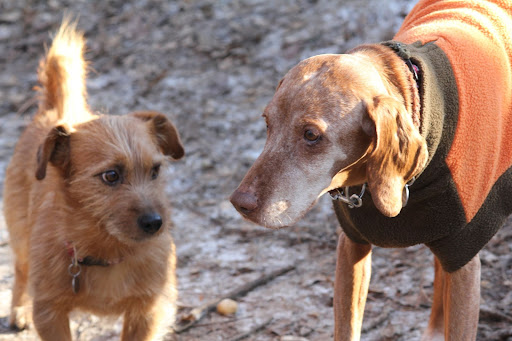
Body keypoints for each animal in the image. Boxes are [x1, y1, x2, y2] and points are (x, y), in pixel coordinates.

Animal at [2, 21, 184, 340]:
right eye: (111, 176)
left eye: (155, 171)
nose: (155, 223)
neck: (108, 252)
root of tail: (58, 110)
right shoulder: (50, 313)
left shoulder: (148, 312)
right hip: (20, 235)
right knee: (21, 269)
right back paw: (18, 309)